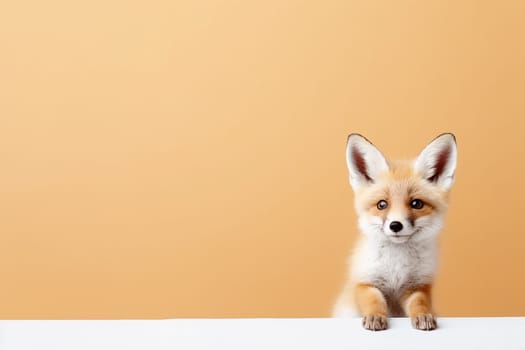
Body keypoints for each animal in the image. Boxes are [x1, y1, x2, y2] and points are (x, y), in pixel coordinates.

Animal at [334, 133, 456, 330]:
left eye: (416, 204)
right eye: (382, 205)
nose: (396, 225)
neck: (396, 265)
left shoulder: (417, 286)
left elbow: (420, 304)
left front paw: (423, 316)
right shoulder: (365, 282)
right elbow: (374, 301)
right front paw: (375, 316)